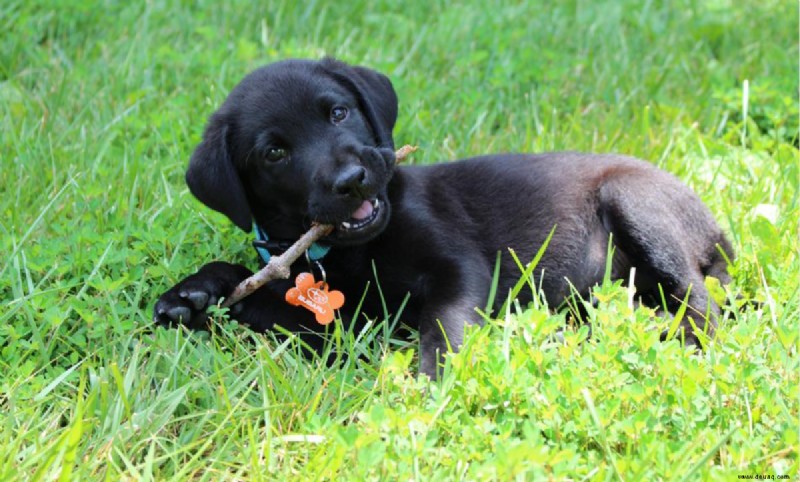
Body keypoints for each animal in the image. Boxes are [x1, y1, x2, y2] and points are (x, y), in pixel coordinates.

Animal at [153, 59, 736, 376]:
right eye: (274, 153)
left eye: (338, 112)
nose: (352, 179)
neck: (349, 253)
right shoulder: (336, 322)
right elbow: (258, 298)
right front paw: (193, 292)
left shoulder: (461, 270)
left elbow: (444, 324)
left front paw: (432, 384)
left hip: (637, 203)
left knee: (702, 306)